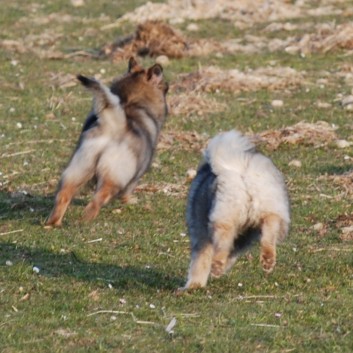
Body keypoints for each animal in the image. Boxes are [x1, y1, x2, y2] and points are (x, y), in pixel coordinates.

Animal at [45, 56, 168, 224]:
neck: (131, 101)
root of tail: (113, 124)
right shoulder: (137, 173)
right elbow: (128, 191)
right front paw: (130, 201)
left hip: (79, 167)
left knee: (63, 195)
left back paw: (54, 222)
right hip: (114, 173)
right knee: (98, 198)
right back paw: (86, 219)